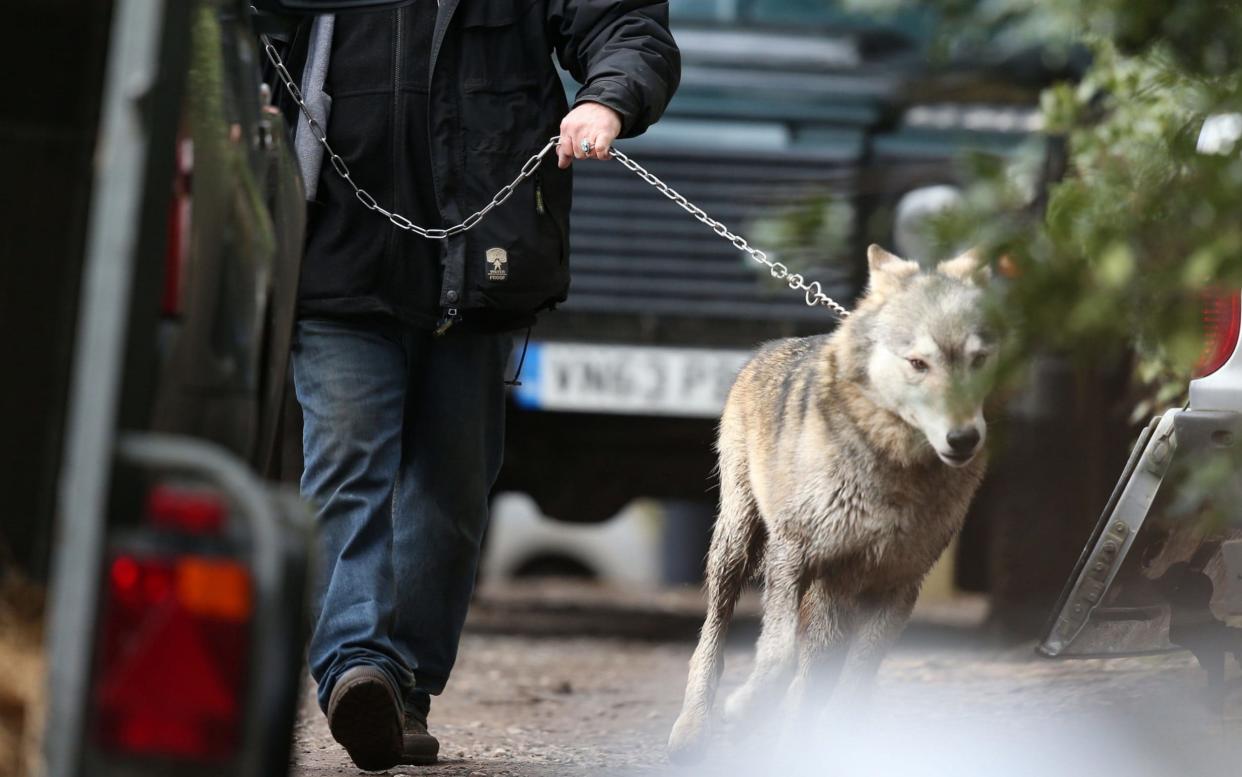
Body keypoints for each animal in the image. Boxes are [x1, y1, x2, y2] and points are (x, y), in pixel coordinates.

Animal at [665, 244, 993, 759]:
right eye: (918, 363)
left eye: (977, 360)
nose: (964, 439)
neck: (895, 474)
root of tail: (770, 347)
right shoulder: (790, 557)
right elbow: (777, 656)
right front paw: (744, 709)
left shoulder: (901, 586)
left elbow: (854, 682)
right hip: (737, 546)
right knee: (712, 639)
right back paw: (693, 728)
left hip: (832, 598)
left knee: (813, 676)